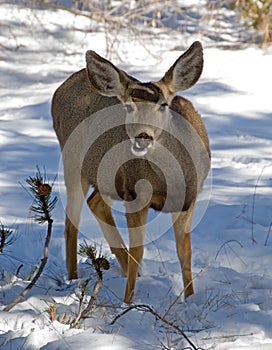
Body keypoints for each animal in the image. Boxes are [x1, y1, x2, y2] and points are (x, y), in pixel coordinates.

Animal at [52, 41, 211, 304]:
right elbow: (138, 250)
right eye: (127, 107)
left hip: (106, 176)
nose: (142, 136)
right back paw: (74, 279)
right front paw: (129, 302)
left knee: (95, 203)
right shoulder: (135, 194)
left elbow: (185, 252)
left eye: (163, 105)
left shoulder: (190, 198)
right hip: (73, 161)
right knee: (71, 221)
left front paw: (190, 299)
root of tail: (62, 87)